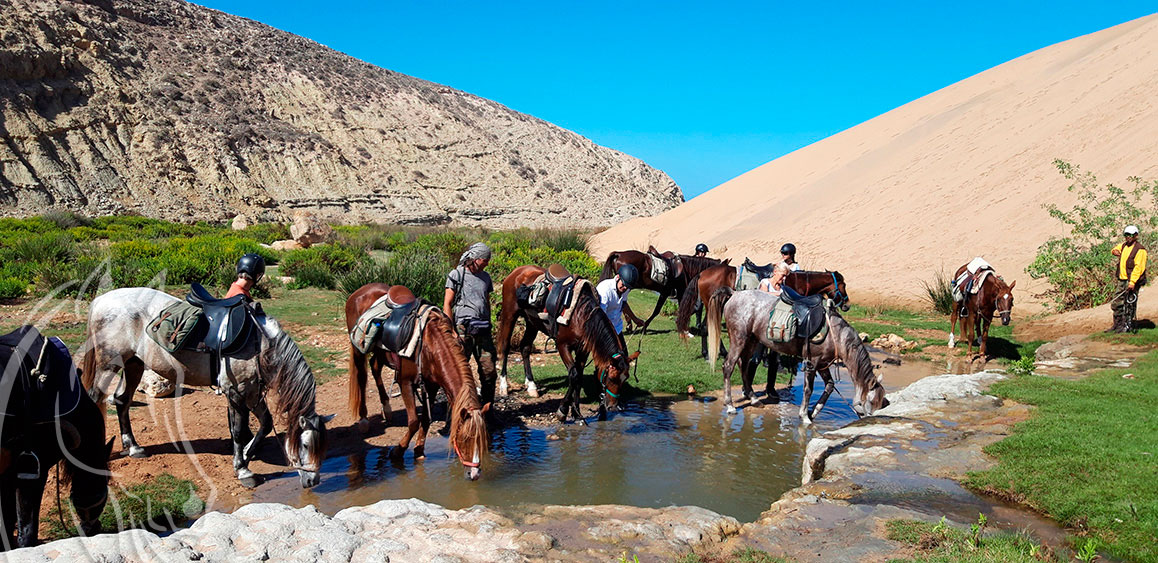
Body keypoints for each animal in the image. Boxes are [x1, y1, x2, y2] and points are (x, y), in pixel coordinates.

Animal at [342, 281, 488, 479]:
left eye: (482, 440)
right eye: (464, 438)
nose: (474, 474)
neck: (430, 345)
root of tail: (359, 292)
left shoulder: (432, 386)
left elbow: (425, 419)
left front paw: (419, 450)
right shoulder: (405, 382)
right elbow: (413, 421)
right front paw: (397, 451)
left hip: (380, 352)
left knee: (375, 367)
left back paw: (387, 409)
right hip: (359, 350)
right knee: (362, 377)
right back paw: (364, 419)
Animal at [497, 266, 634, 423]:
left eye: (625, 379)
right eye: (611, 378)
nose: (612, 406)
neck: (581, 316)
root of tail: (518, 271)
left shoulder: (583, 350)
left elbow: (579, 376)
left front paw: (577, 413)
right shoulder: (562, 346)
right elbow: (574, 375)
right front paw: (562, 411)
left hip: (532, 322)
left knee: (525, 348)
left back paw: (531, 385)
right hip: (509, 314)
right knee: (505, 347)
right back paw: (504, 386)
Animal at [699, 288, 880, 419]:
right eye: (871, 402)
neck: (835, 334)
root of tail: (734, 293)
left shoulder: (822, 364)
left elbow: (829, 386)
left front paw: (814, 412)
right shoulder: (812, 362)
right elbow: (808, 389)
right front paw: (805, 416)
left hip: (751, 341)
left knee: (744, 366)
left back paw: (754, 399)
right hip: (739, 339)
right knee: (728, 366)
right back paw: (730, 405)